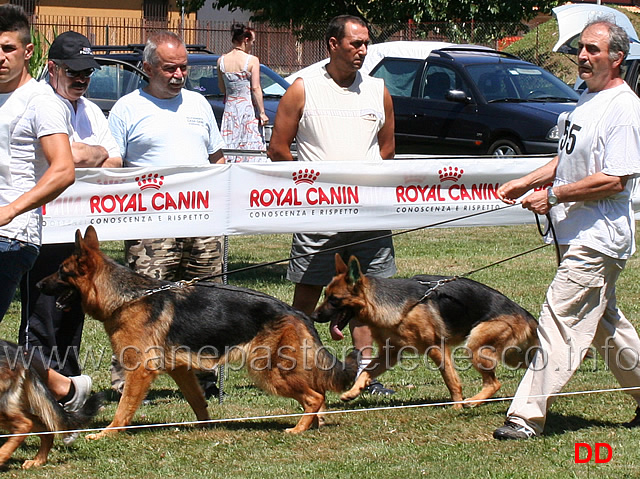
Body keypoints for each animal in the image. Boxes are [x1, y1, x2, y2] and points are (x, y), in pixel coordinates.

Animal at [37, 227, 358, 440]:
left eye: (60, 272)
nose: (38, 285)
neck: (126, 297)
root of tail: (297, 312)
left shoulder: (140, 371)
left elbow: (125, 406)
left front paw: (107, 433)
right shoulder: (180, 369)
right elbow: (197, 400)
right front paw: (205, 425)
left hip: (268, 371)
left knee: (314, 396)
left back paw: (299, 427)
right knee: (318, 395)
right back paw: (314, 423)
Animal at [312, 255, 536, 408]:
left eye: (334, 300)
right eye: (325, 295)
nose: (313, 316)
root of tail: (525, 314)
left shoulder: (437, 347)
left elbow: (451, 380)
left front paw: (456, 405)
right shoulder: (391, 353)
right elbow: (366, 371)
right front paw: (352, 392)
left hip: (476, 345)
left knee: (494, 383)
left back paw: (472, 401)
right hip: (511, 356)